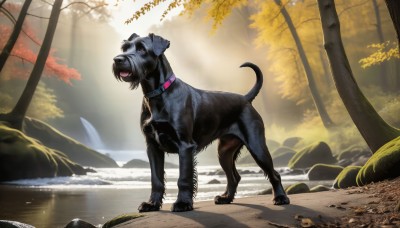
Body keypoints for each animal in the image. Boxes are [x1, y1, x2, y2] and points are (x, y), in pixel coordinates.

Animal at [112, 33, 290, 213]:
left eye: (142, 48)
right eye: (125, 48)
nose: (118, 59)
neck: (158, 93)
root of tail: (246, 99)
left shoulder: (185, 146)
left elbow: (184, 178)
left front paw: (183, 203)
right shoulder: (153, 147)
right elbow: (156, 179)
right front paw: (152, 204)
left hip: (257, 146)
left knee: (274, 174)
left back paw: (280, 198)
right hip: (224, 152)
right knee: (234, 176)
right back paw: (226, 198)